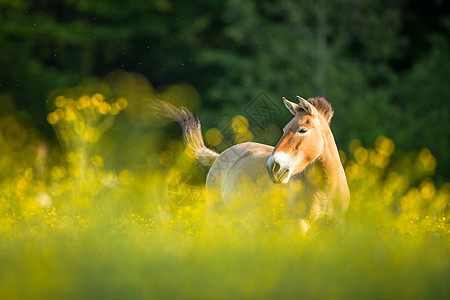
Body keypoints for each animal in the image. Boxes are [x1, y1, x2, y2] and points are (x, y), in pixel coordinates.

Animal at [156, 95, 350, 233]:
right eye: (284, 129)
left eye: (302, 130)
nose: (273, 167)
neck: (326, 189)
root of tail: (220, 156)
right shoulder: (298, 228)